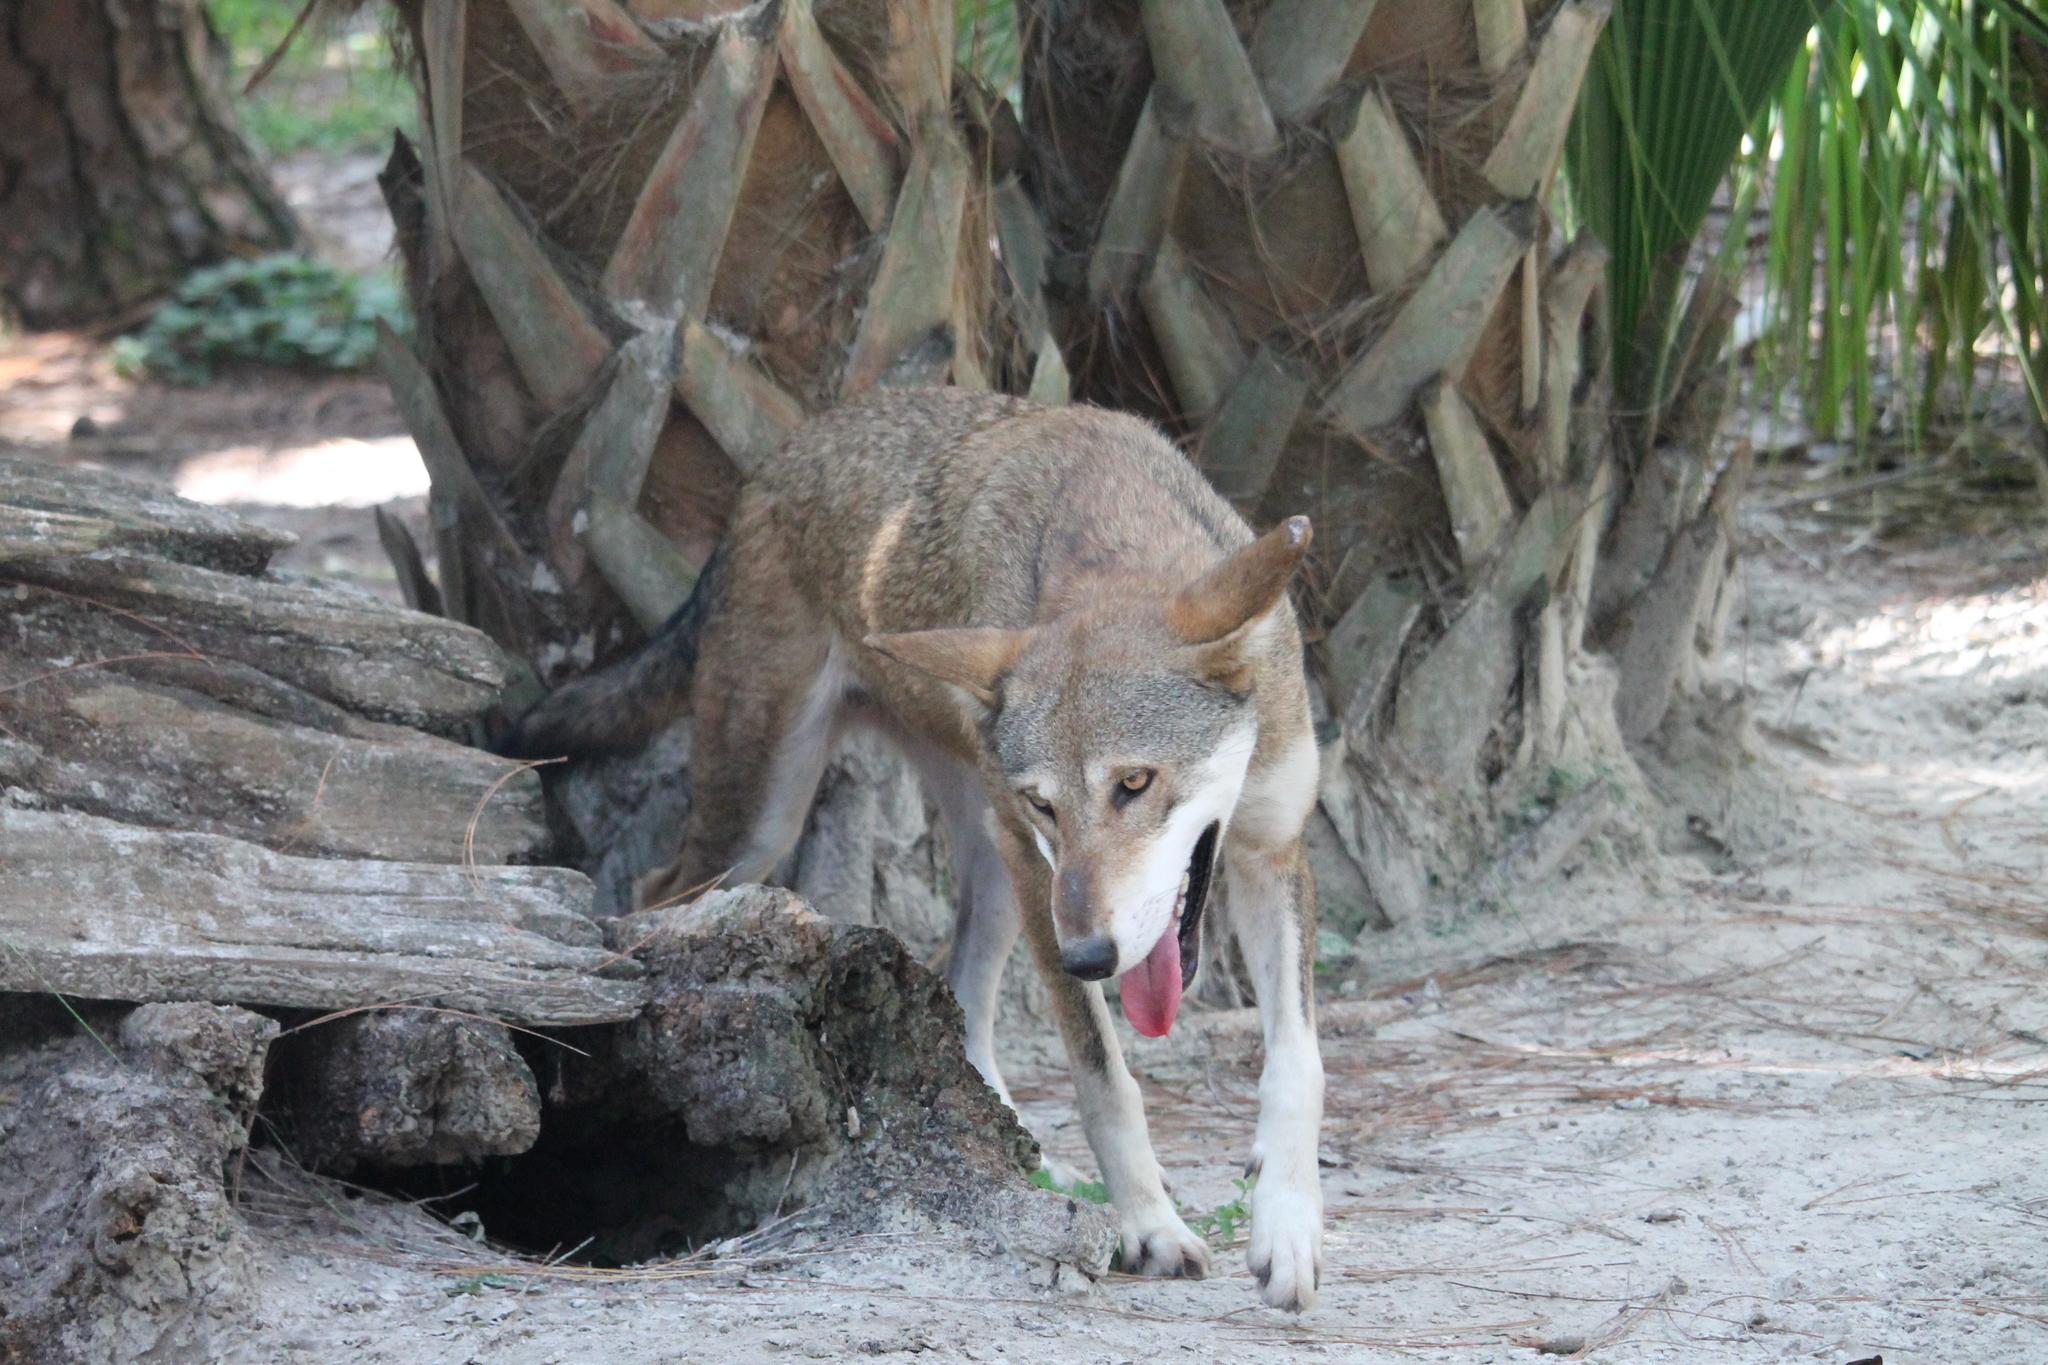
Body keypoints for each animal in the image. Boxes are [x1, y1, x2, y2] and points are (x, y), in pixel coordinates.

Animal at [505, 387, 1325, 1309]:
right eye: (1047, 804)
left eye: (1135, 783)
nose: (1087, 956)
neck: (1115, 523)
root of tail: (773, 466)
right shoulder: (1044, 874)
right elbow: (1105, 1077)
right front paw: (1150, 1227)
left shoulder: (1274, 852)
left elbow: (1297, 1065)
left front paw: (1288, 1230)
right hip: (781, 832)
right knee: (654, 895)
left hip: (995, 876)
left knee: (963, 1000)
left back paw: (1017, 1155)